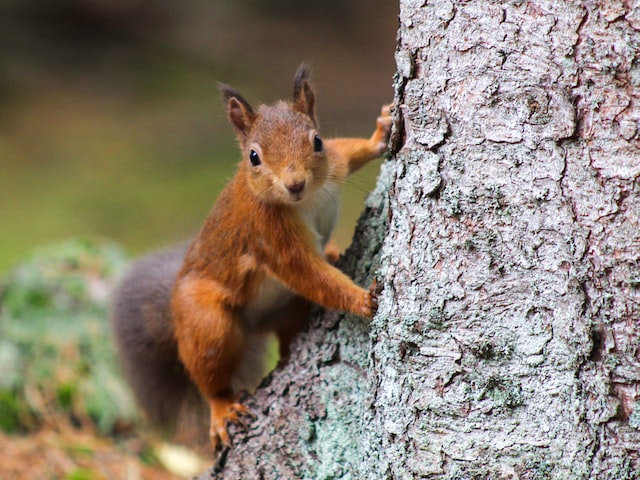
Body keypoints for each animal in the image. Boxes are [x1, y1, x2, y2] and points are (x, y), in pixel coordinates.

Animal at [111, 64, 390, 454]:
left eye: (316, 141)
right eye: (253, 157)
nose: (295, 183)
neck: (305, 200)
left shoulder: (333, 164)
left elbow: (347, 150)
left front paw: (381, 132)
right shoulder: (270, 236)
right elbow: (309, 274)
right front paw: (363, 299)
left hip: (288, 310)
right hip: (206, 322)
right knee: (209, 374)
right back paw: (222, 409)